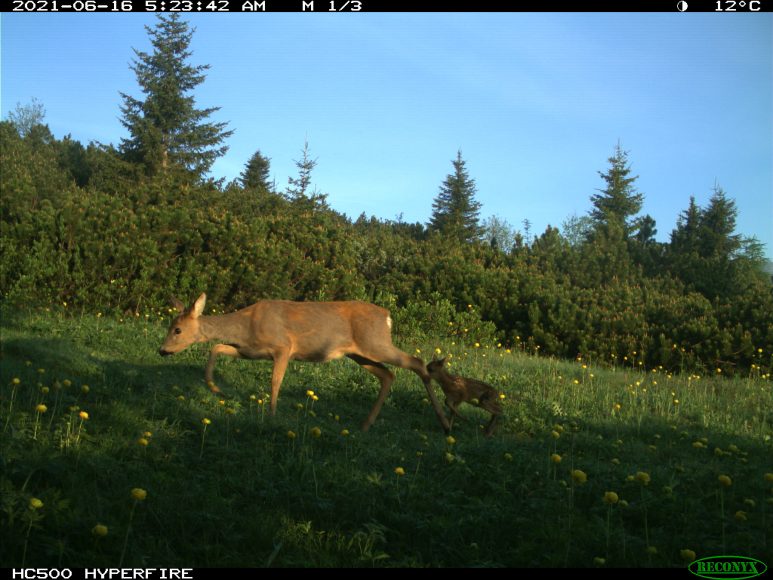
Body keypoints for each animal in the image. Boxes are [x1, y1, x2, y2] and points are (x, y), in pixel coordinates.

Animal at [160, 292, 450, 432]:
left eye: (177, 330)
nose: (162, 350)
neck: (246, 325)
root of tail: (387, 316)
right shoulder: (251, 351)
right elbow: (216, 347)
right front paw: (215, 388)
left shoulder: (283, 346)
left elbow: (275, 381)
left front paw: (272, 415)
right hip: (359, 353)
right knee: (388, 375)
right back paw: (365, 424)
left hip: (375, 343)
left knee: (417, 361)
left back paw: (446, 422)